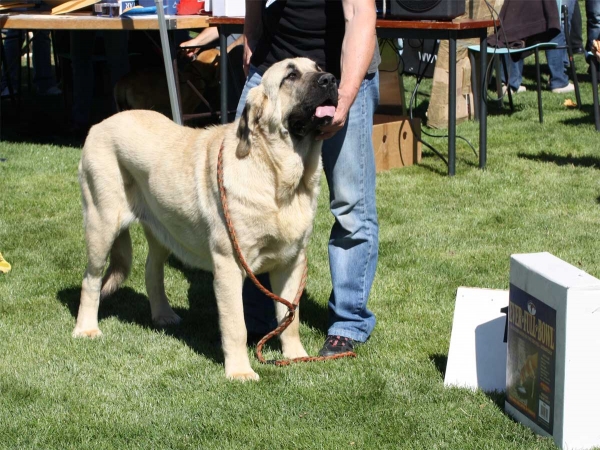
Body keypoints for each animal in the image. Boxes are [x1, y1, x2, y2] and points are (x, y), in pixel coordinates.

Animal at [71, 56, 338, 380]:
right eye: (290, 76)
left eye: (318, 67)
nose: (330, 79)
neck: (279, 179)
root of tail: (100, 124)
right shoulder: (229, 265)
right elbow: (236, 325)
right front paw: (239, 372)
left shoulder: (291, 262)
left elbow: (291, 317)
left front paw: (297, 356)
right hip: (102, 224)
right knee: (91, 278)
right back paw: (86, 328)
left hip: (164, 229)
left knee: (152, 269)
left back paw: (163, 315)